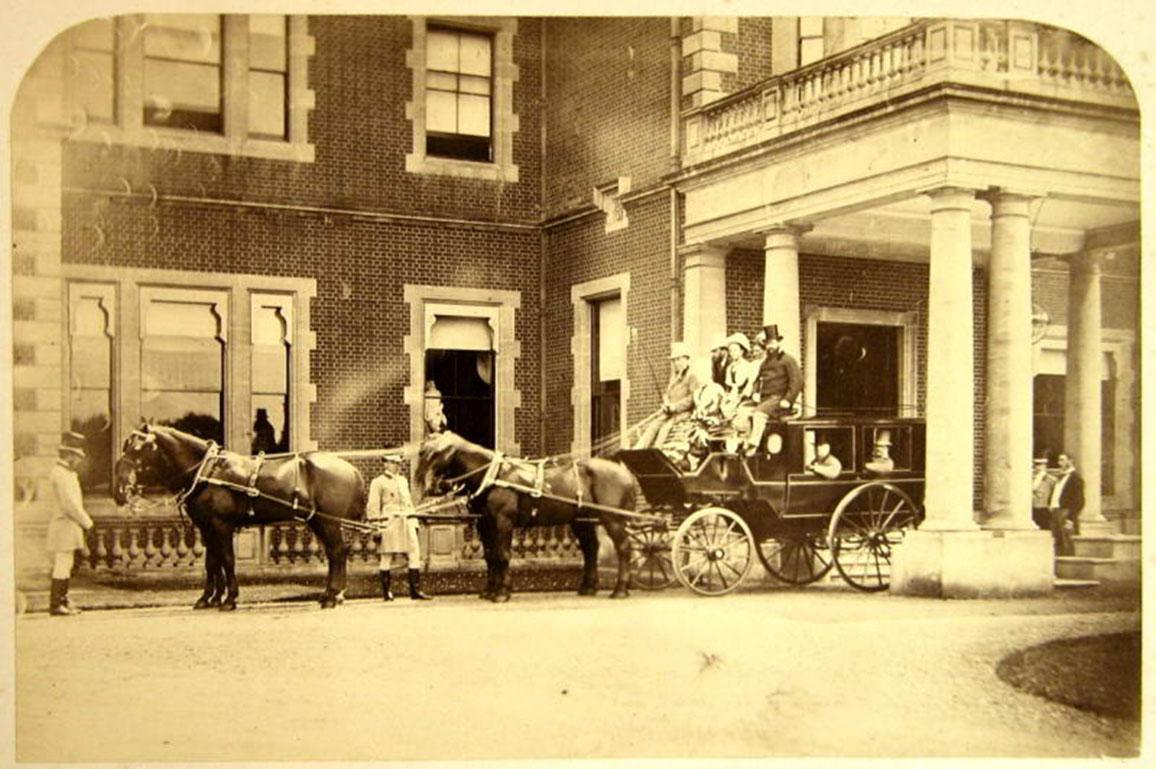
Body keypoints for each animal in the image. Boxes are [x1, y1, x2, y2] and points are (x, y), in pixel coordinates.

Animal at [112, 423, 365, 610]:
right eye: (126, 445)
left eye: (138, 448)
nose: (120, 489)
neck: (206, 471)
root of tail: (350, 468)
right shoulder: (207, 528)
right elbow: (212, 562)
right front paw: (209, 599)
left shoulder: (221, 525)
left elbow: (227, 560)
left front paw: (230, 599)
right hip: (319, 521)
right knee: (335, 554)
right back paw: (330, 595)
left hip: (328, 521)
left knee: (337, 552)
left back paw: (332, 596)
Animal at [413, 432, 638, 601]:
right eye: (422, 452)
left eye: (434, 453)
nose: (428, 486)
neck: (493, 475)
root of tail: (627, 474)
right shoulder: (485, 523)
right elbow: (490, 556)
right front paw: (489, 591)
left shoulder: (503, 521)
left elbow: (503, 554)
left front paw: (502, 593)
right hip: (582, 521)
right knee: (591, 549)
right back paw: (588, 588)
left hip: (613, 519)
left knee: (623, 548)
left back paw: (620, 589)